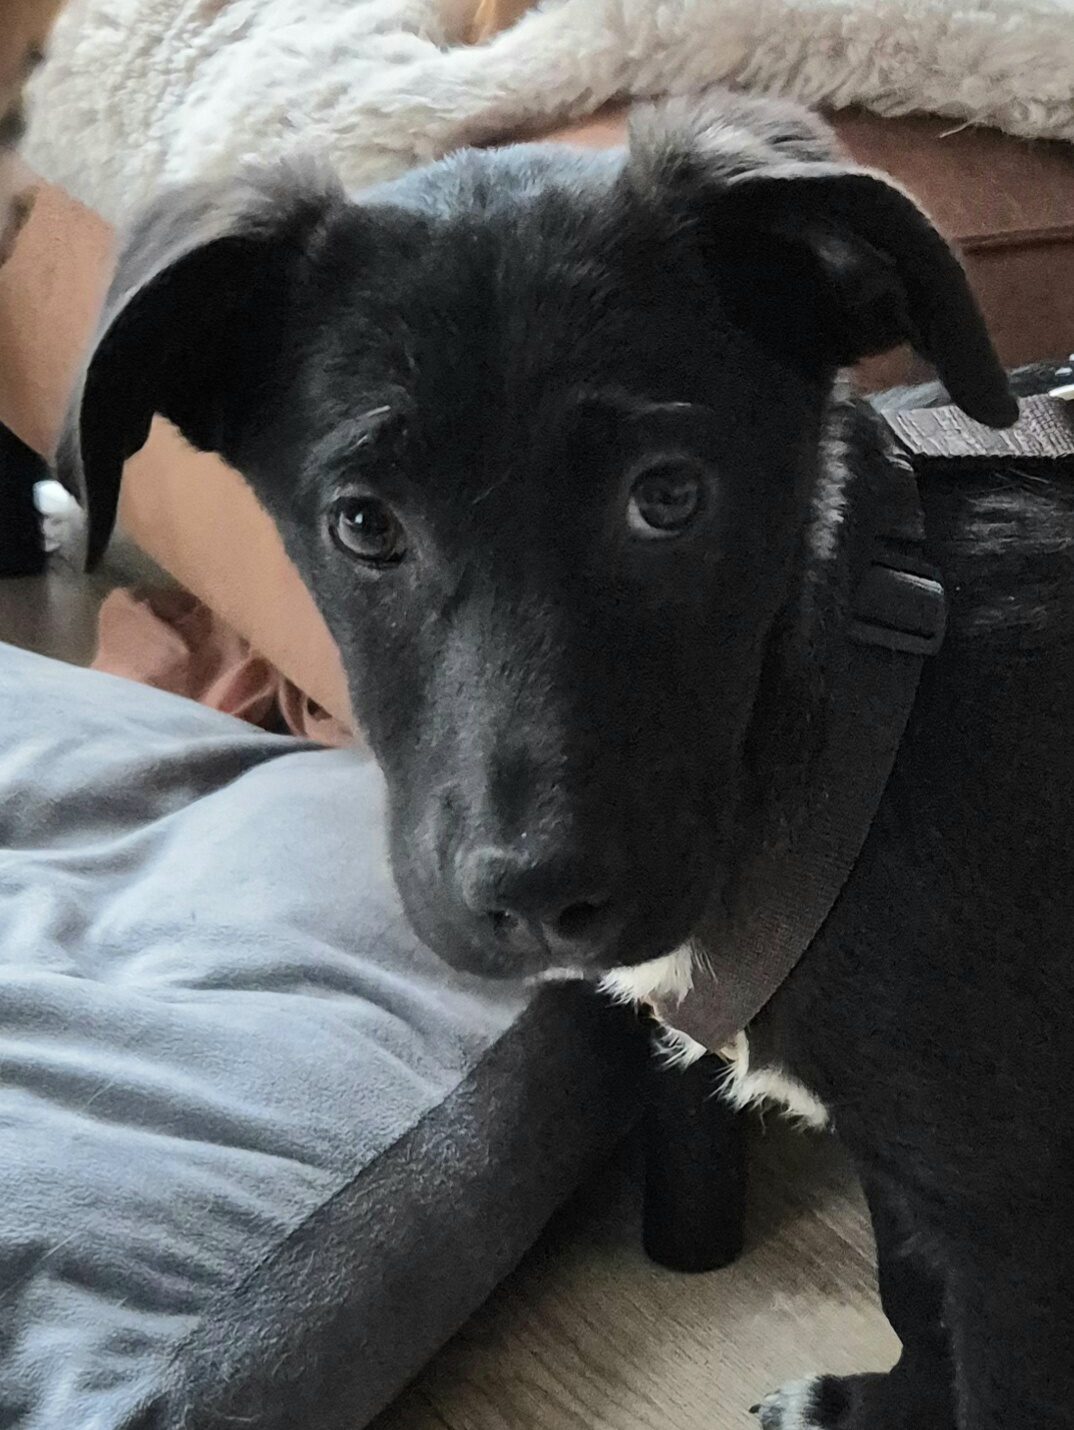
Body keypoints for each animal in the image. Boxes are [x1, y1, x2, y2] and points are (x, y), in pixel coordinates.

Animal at [59, 91, 1074, 1430]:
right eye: (364, 523)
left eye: (669, 497)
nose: (539, 900)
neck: (862, 696)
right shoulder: (942, 1187)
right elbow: (914, 1293)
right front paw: (881, 1400)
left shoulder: (1017, 1222)